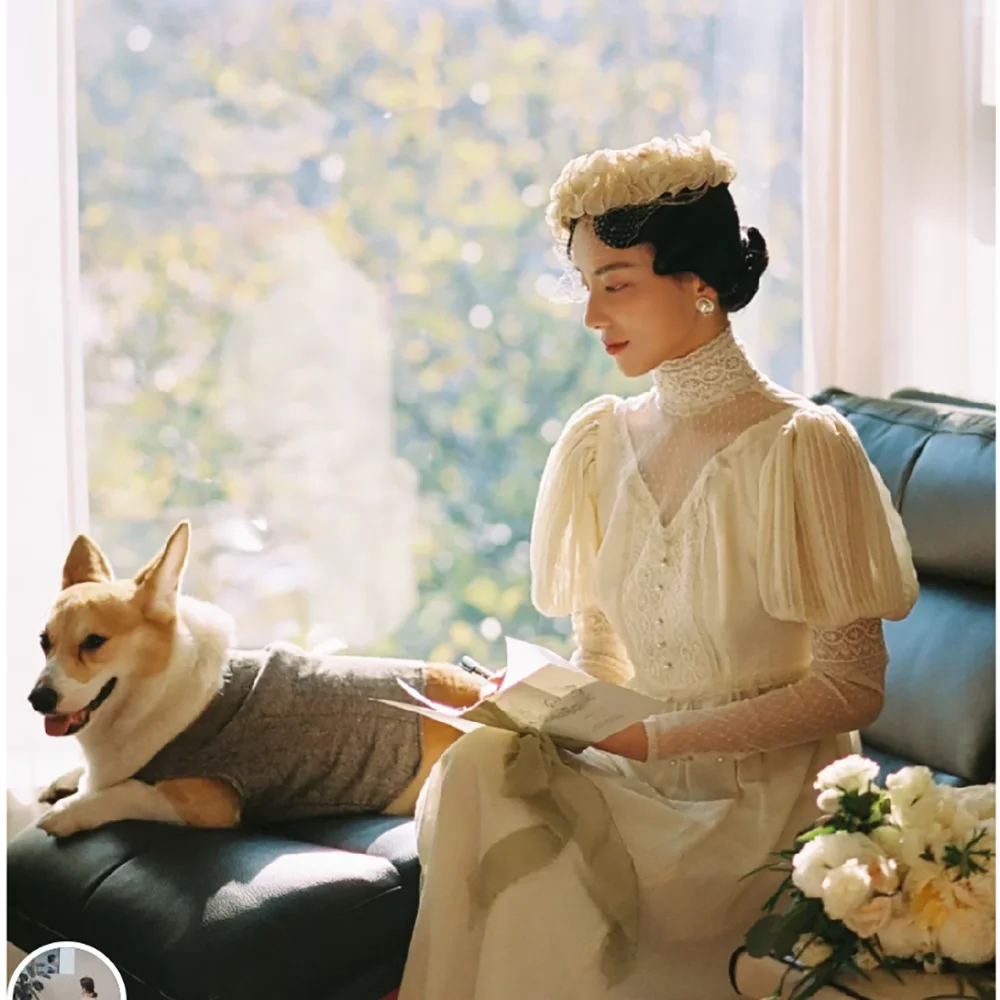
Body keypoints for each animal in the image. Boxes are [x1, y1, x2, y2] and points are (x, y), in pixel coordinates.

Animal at [31, 520, 484, 840]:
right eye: (43, 641)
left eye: (94, 642)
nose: (38, 699)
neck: (158, 692)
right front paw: (64, 782)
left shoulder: (204, 800)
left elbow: (127, 791)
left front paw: (70, 811)